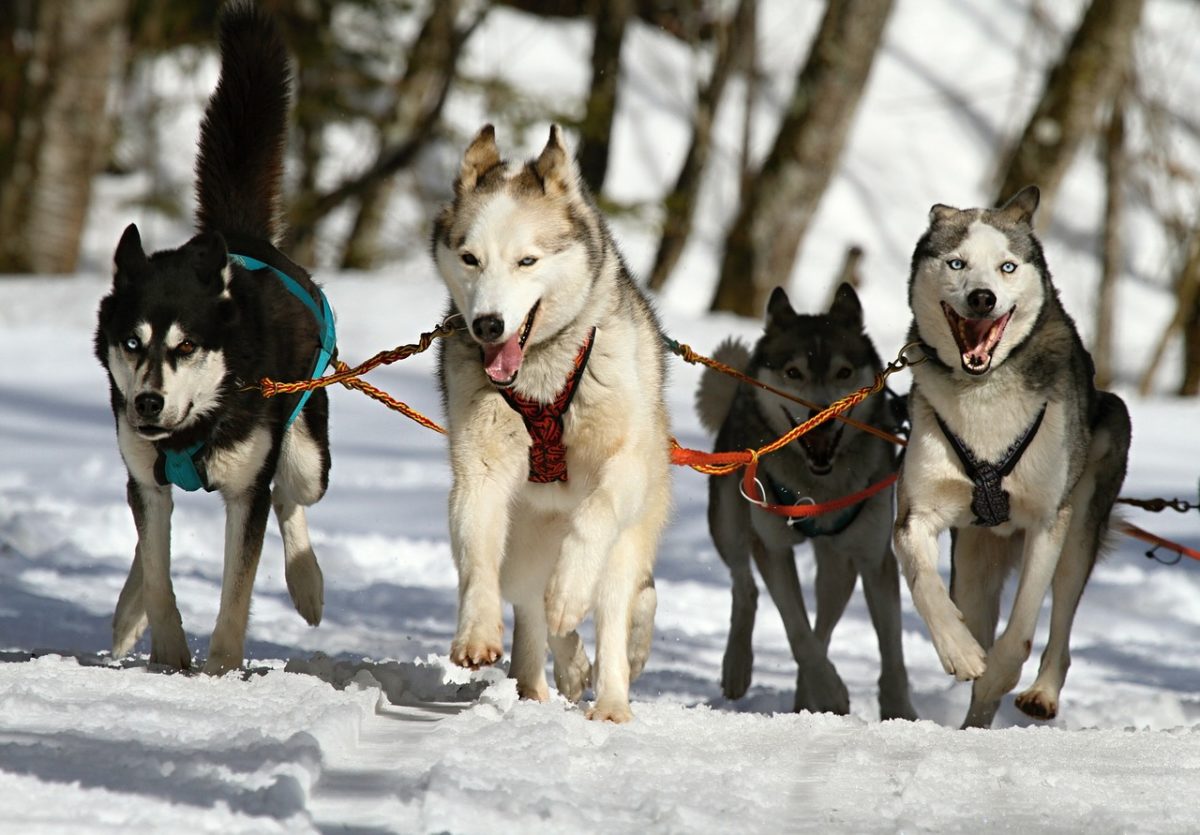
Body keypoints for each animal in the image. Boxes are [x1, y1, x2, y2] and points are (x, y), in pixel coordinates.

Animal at [93, 3, 333, 676]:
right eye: (132, 343)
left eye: (186, 346)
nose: (148, 402)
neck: (194, 426)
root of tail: (239, 236)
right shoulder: (147, 477)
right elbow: (157, 569)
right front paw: (169, 654)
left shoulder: (245, 492)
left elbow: (237, 590)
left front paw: (222, 669)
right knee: (146, 537)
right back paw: (128, 614)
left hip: (308, 453)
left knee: (291, 497)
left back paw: (307, 583)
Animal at [434, 124, 676, 724]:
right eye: (470, 258)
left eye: (527, 261)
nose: (487, 324)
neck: (541, 378)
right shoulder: (479, 471)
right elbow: (476, 557)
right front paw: (476, 632)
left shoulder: (623, 466)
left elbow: (594, 517)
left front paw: (570, 591)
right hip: (522, 544)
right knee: (531, 608)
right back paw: (549, 677)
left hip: (628, 539)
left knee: (613, 606)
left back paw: (609, 700)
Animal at [700, 285, 912, 719]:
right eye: (793, 373)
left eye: (844, 373)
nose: (822, 415)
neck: (819, 486)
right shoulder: (773, 548)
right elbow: (797, 631)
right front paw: (830, 691)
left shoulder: (874, 557)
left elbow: (891, 651)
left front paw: (900, 712)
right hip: (728, 521)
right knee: (745, 587)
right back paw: (738, 667)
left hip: (839, 564)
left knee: (825, 623)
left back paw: (804, 698)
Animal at [892, 185, 1132, 729]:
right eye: (957, 263)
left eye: (1006, 266)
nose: (983, 297)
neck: (983, 394)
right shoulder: (917, 514)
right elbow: (924, 584)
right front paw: (959, 650)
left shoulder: (1047, 521)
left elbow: (1020, 631)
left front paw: (999, 672)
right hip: (973, 561)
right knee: (975, 610)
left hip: (1081, 524)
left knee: (1061, 621)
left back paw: (1040, 692)